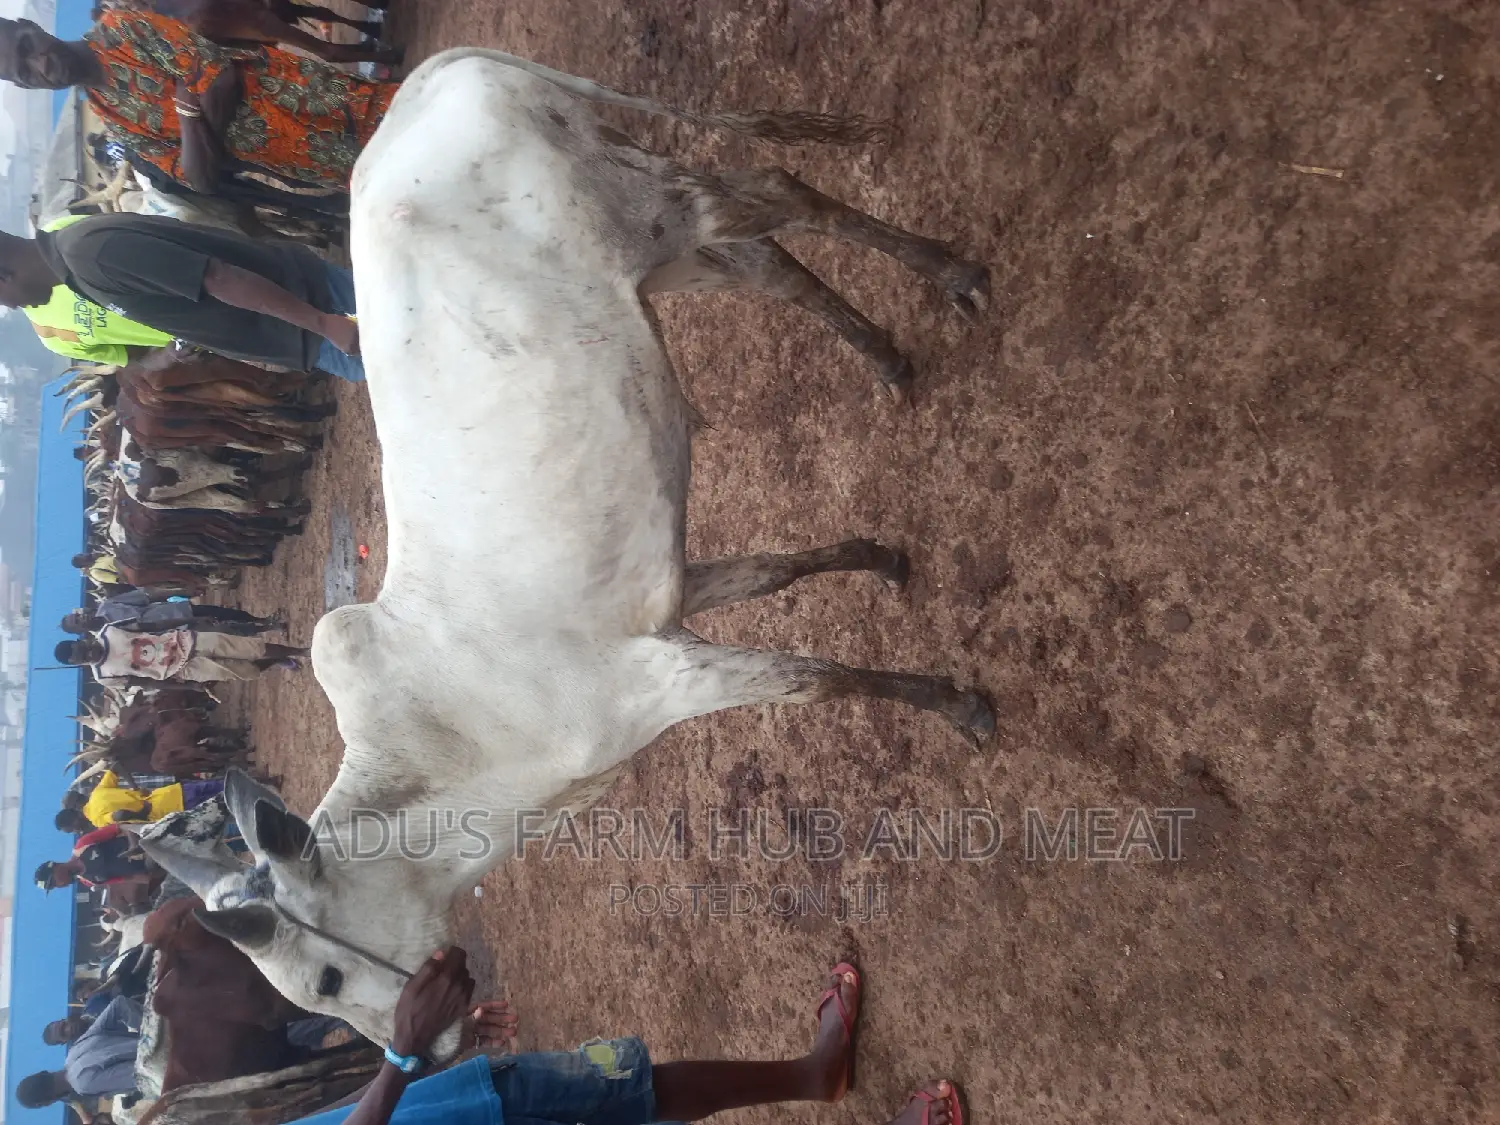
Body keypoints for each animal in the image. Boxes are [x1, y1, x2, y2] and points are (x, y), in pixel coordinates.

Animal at [141, 47, 994, 1061]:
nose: (423, 1051)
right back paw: (884, 354)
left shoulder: (663, 683)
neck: (462, 753)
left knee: (780, 190)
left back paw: (952, 272)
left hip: (657, 207)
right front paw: (882, 558)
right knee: (770, 262)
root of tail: (435, 76)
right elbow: (781, 570)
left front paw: (960, 703)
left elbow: (818, 678)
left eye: (325, 977)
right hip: (660, 253)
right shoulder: (674, 600)